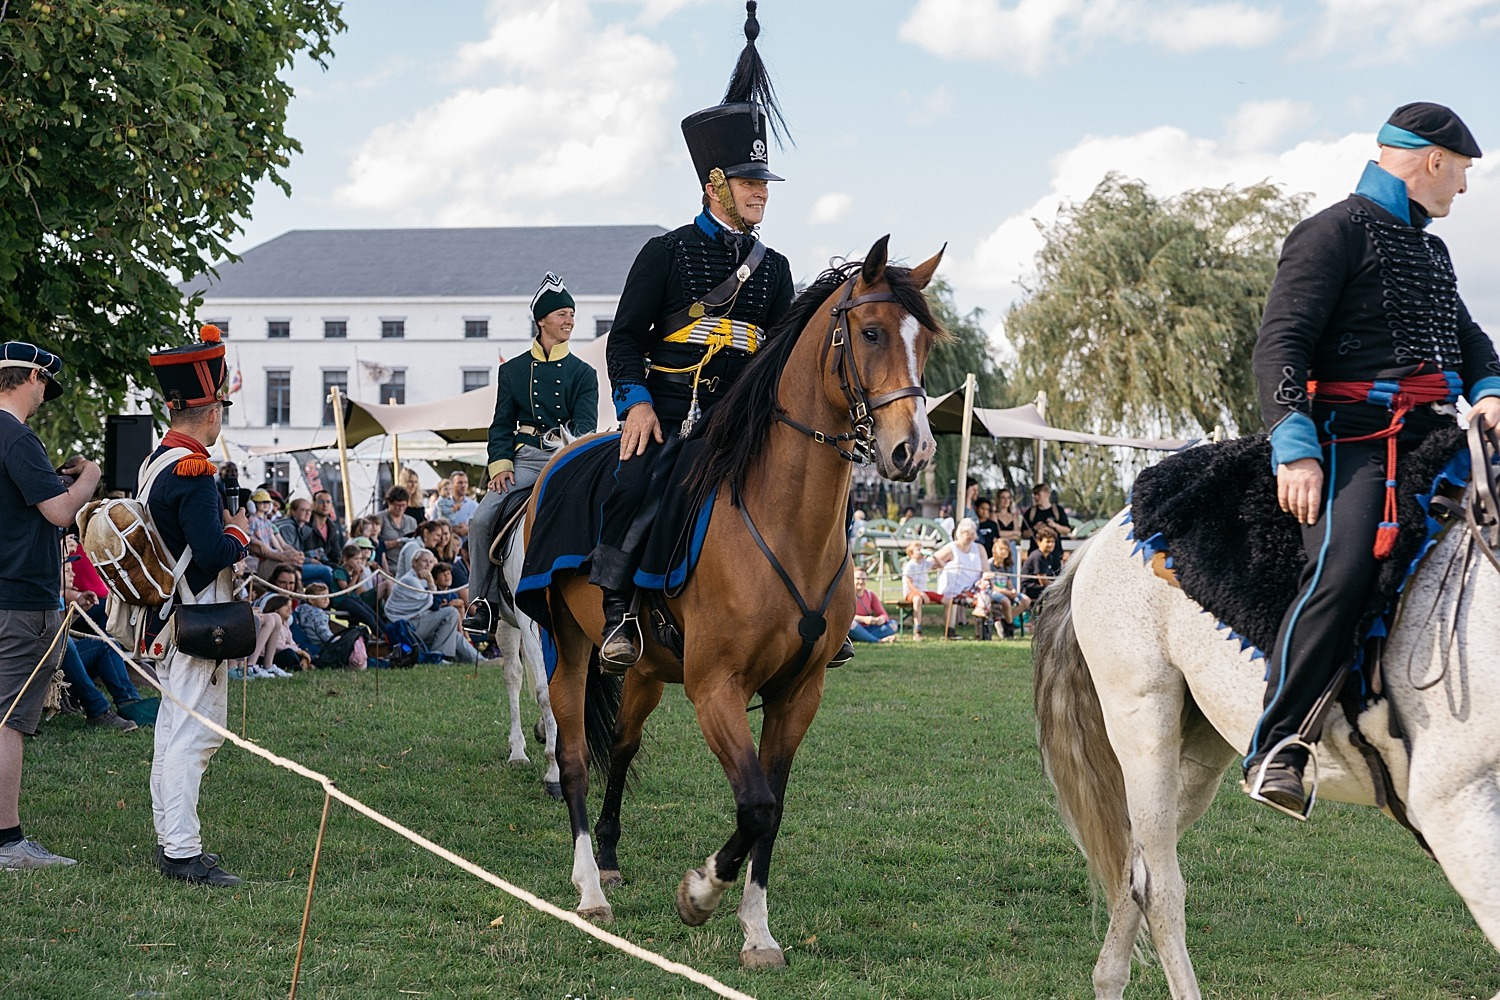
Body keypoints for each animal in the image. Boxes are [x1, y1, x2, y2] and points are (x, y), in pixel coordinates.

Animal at [534, 236, 942, 971]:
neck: (784, 523)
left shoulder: (797, 694)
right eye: (870, 332)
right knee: (576, 757)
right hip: (569, 647)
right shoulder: (715, 687)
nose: (913, 449)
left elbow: (770, 809)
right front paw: (699, 894)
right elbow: (753, 805)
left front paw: (757, 932)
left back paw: (607, 858)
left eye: (924, 340)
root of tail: (559, 457)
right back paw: (589, 890)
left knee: (625, 746)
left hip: (645, 670)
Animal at [1038, 437, 1500, 1000]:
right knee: (1157, 887)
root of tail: (1104, 534)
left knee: (1137, 859)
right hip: (1142, 721)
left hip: (1196, 756)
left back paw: (1108, 978)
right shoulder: (1456, 808)